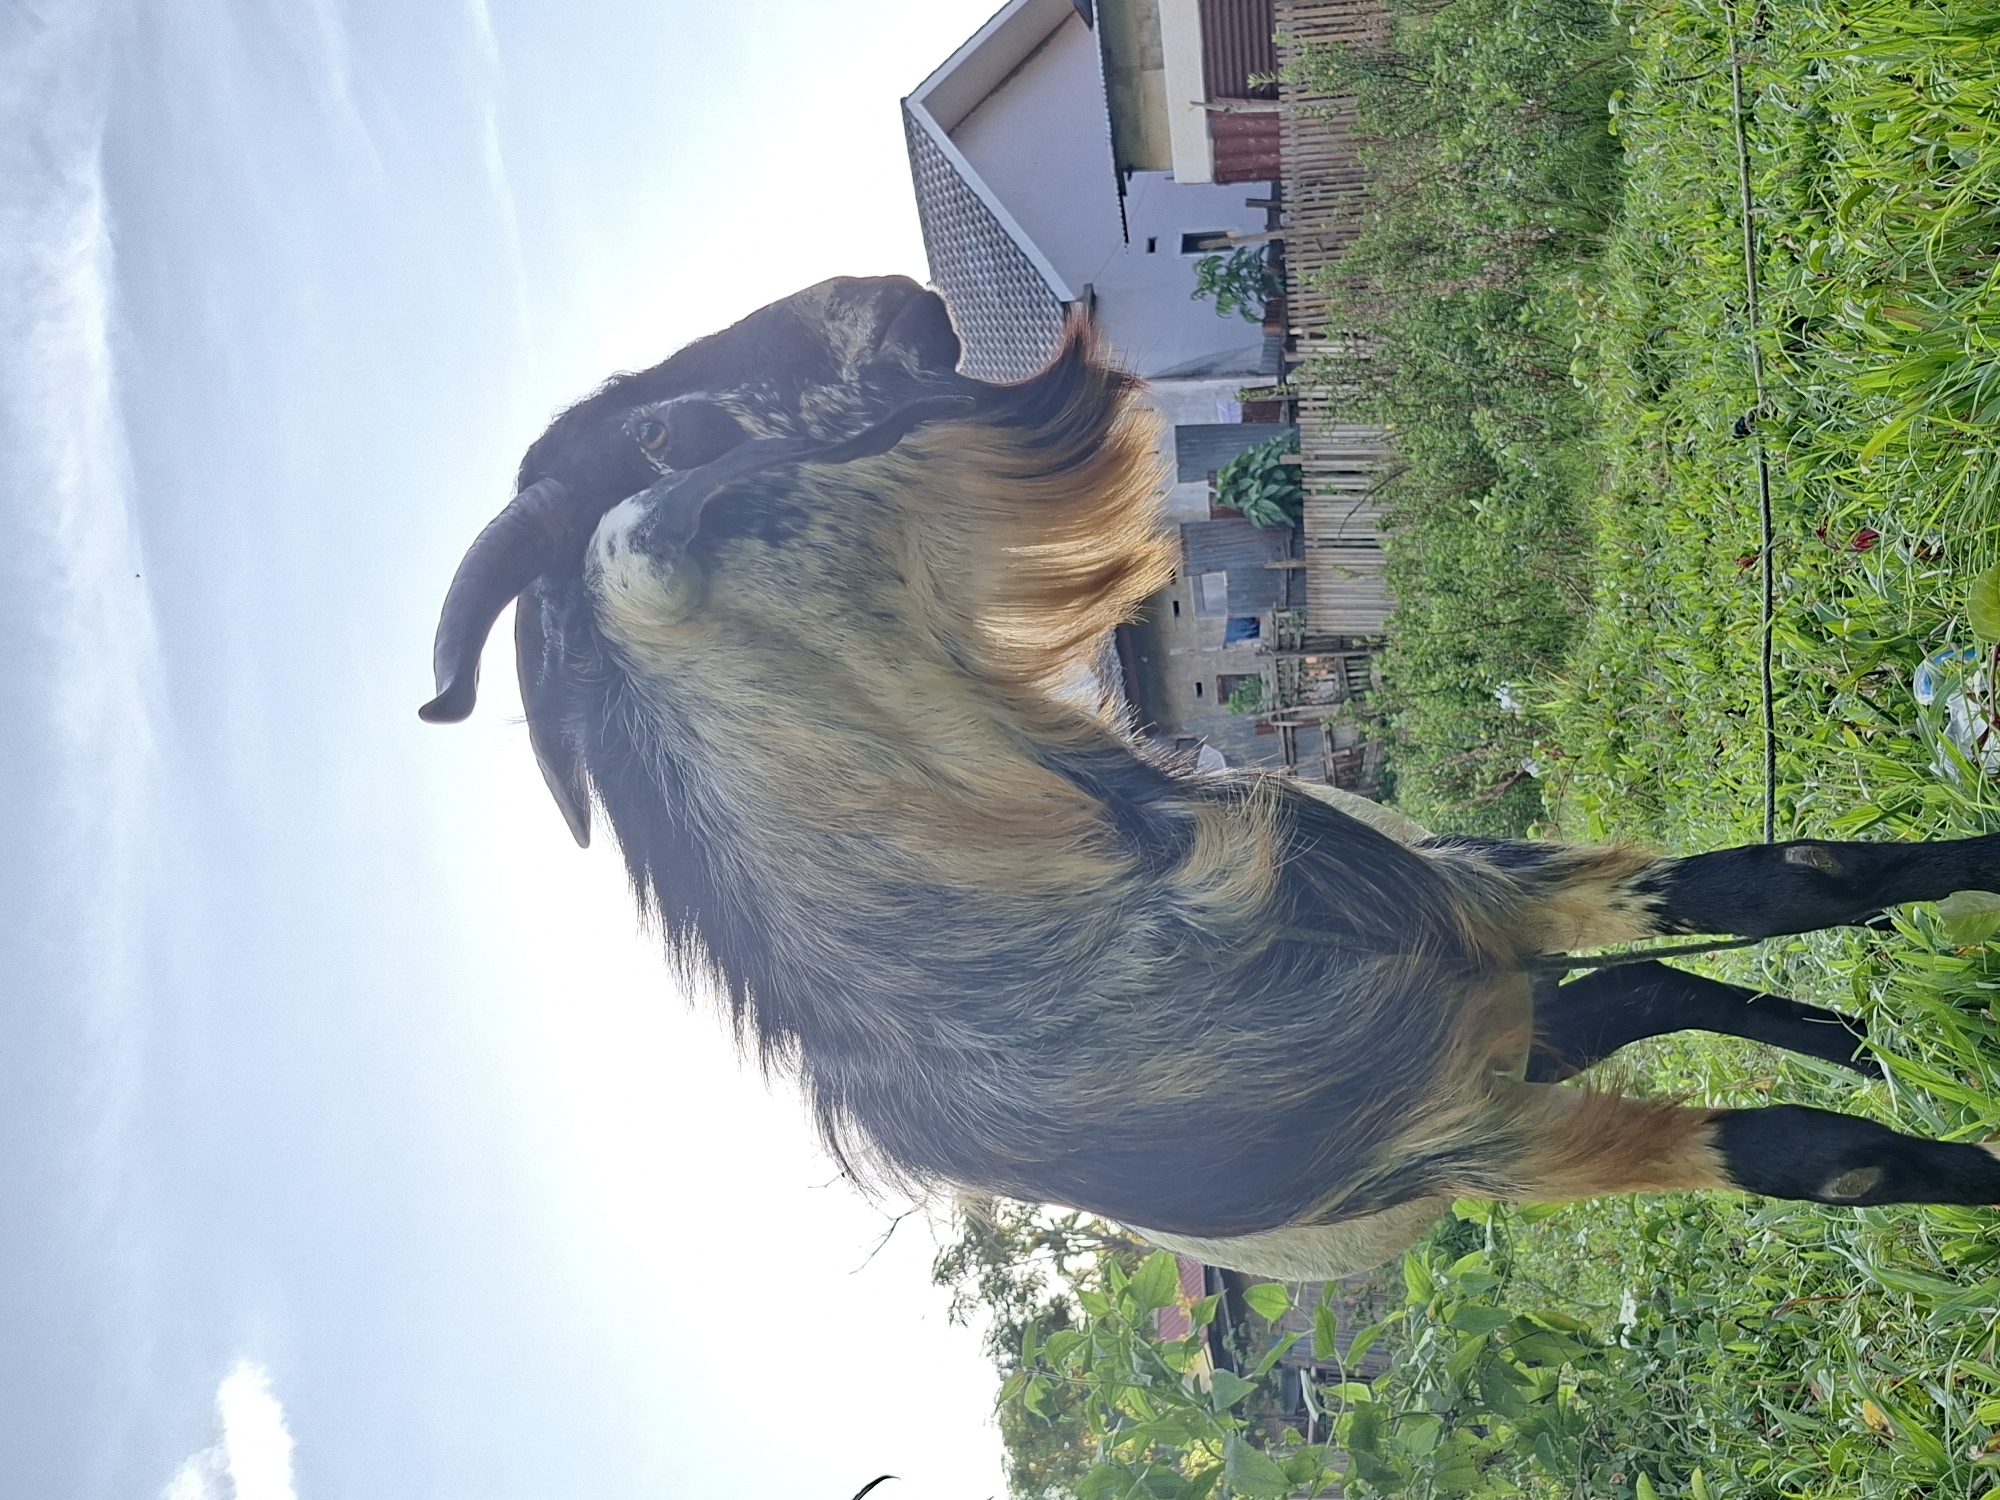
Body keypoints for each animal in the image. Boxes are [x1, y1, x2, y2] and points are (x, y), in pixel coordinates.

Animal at [422, 275, 2000, 1279]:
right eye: (661, 433)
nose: (895, 295)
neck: (1124, 926)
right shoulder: (1471, 1141)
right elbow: (1820, 1157)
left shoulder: (1479, 896)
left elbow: (1789, 880)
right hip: (1509, 1041)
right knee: (1644, 1003)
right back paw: (1861, 1044)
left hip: (1487, 948)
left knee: (1664, 978)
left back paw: (1863, 1033)